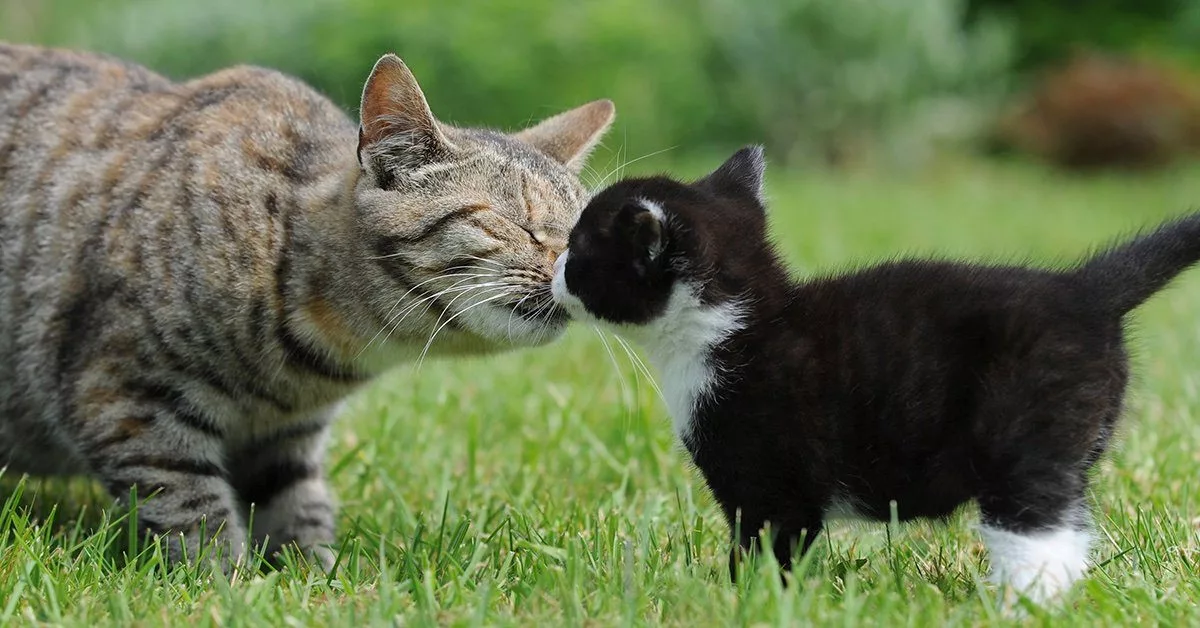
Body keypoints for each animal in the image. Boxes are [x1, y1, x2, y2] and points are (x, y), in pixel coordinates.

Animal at [0, 42, 614, 569]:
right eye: (517, 224)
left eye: (583, 232)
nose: (579, 269)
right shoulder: (126, 394)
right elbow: (192, 508)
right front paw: (224, 586)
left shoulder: (286, 437)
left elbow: (298, 512)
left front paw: (313, 577)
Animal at [549, 147, 1200, 605]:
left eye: (579, 250)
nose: (554, 266)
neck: (735, 323)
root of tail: (1083, 291)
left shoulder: (768, 479)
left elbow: (770, 544)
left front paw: (743, 599)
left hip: (1024, 426)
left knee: (1038, 526)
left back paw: (1020, 606)